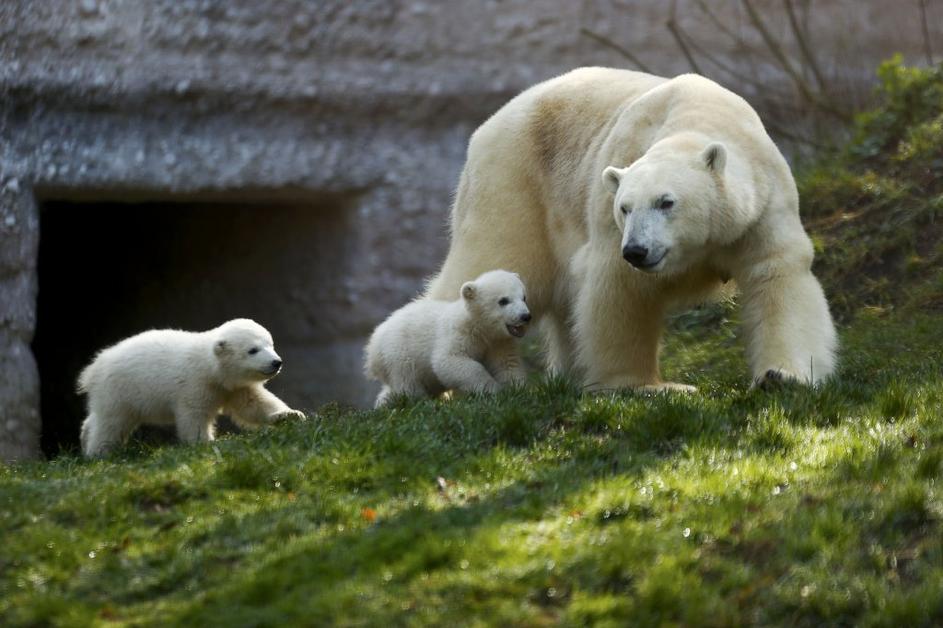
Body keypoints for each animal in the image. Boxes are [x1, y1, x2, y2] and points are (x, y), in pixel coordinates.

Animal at [424, 70, 836, 392]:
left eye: (666, 202)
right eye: (625, 207)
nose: (636, 250)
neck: (697, 118)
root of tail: (486, 128)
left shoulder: (760, 206)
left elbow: (775, 276)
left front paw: (781, 377)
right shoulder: (612, 202)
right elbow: (619, 290)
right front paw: (647, 386)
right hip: (514, 183)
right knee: (495, 261)